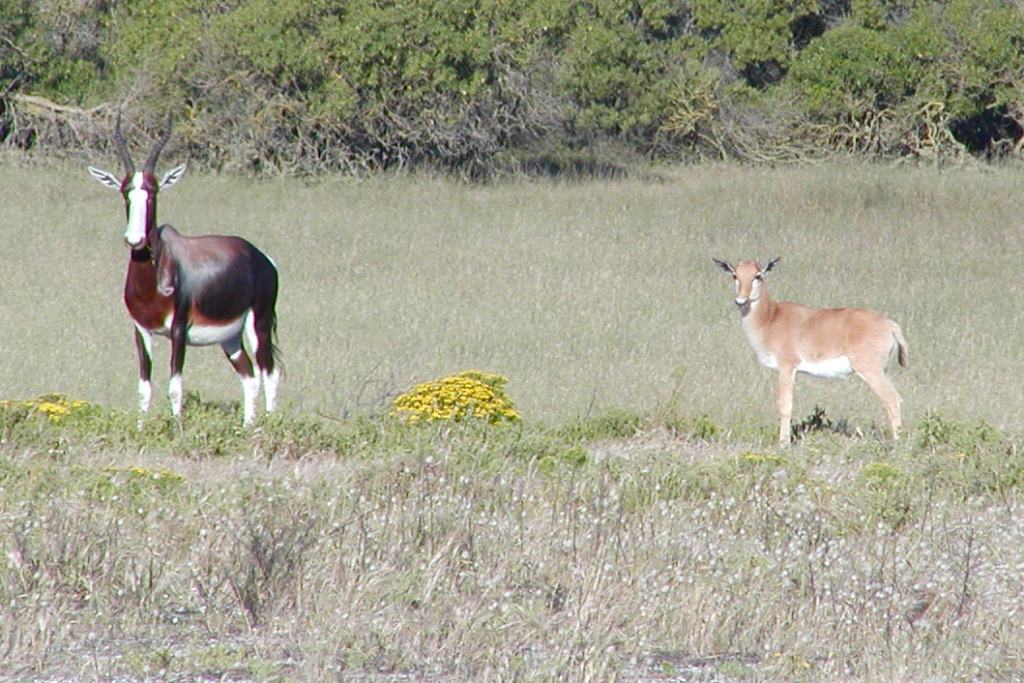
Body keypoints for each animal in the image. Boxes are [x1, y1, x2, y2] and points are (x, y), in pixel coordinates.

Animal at [87, 117, 280, 428]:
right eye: (125, 191)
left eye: (153, 192)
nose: (134, 239)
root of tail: (264, 259)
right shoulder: (140, 330)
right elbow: (144, 388)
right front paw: (141, 429)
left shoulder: (178, 330)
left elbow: (175, 386)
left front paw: (177, 430)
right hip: (230, 338)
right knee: (250, 377)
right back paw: (247, 428)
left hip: (258, 324)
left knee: (270, 374)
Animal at [712, 255, 905, 444]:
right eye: (735, 275)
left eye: (758, 275)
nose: (740, 301)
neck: (771, 318)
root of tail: (891, 325)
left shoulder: (787, 367)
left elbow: (784, 405)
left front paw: (783, 443)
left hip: (871, 371)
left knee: (892, 399)